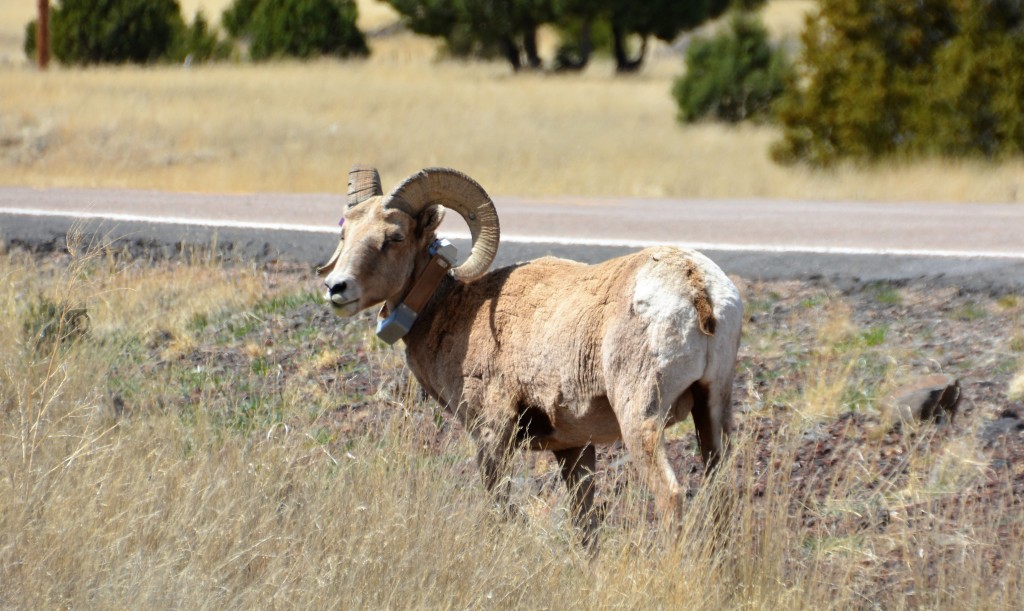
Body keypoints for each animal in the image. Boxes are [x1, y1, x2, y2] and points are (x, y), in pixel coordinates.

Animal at [319, 164, 745, 540]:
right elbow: (585, 525)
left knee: (670, 496)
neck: (456, 310)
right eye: (345, 234)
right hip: (713, 410)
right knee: (722, 493)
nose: (336, 287)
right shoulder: (574, 447)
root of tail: (697, 287)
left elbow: (502, 507)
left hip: (641, 416)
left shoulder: (493, 431)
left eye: (394, 237)